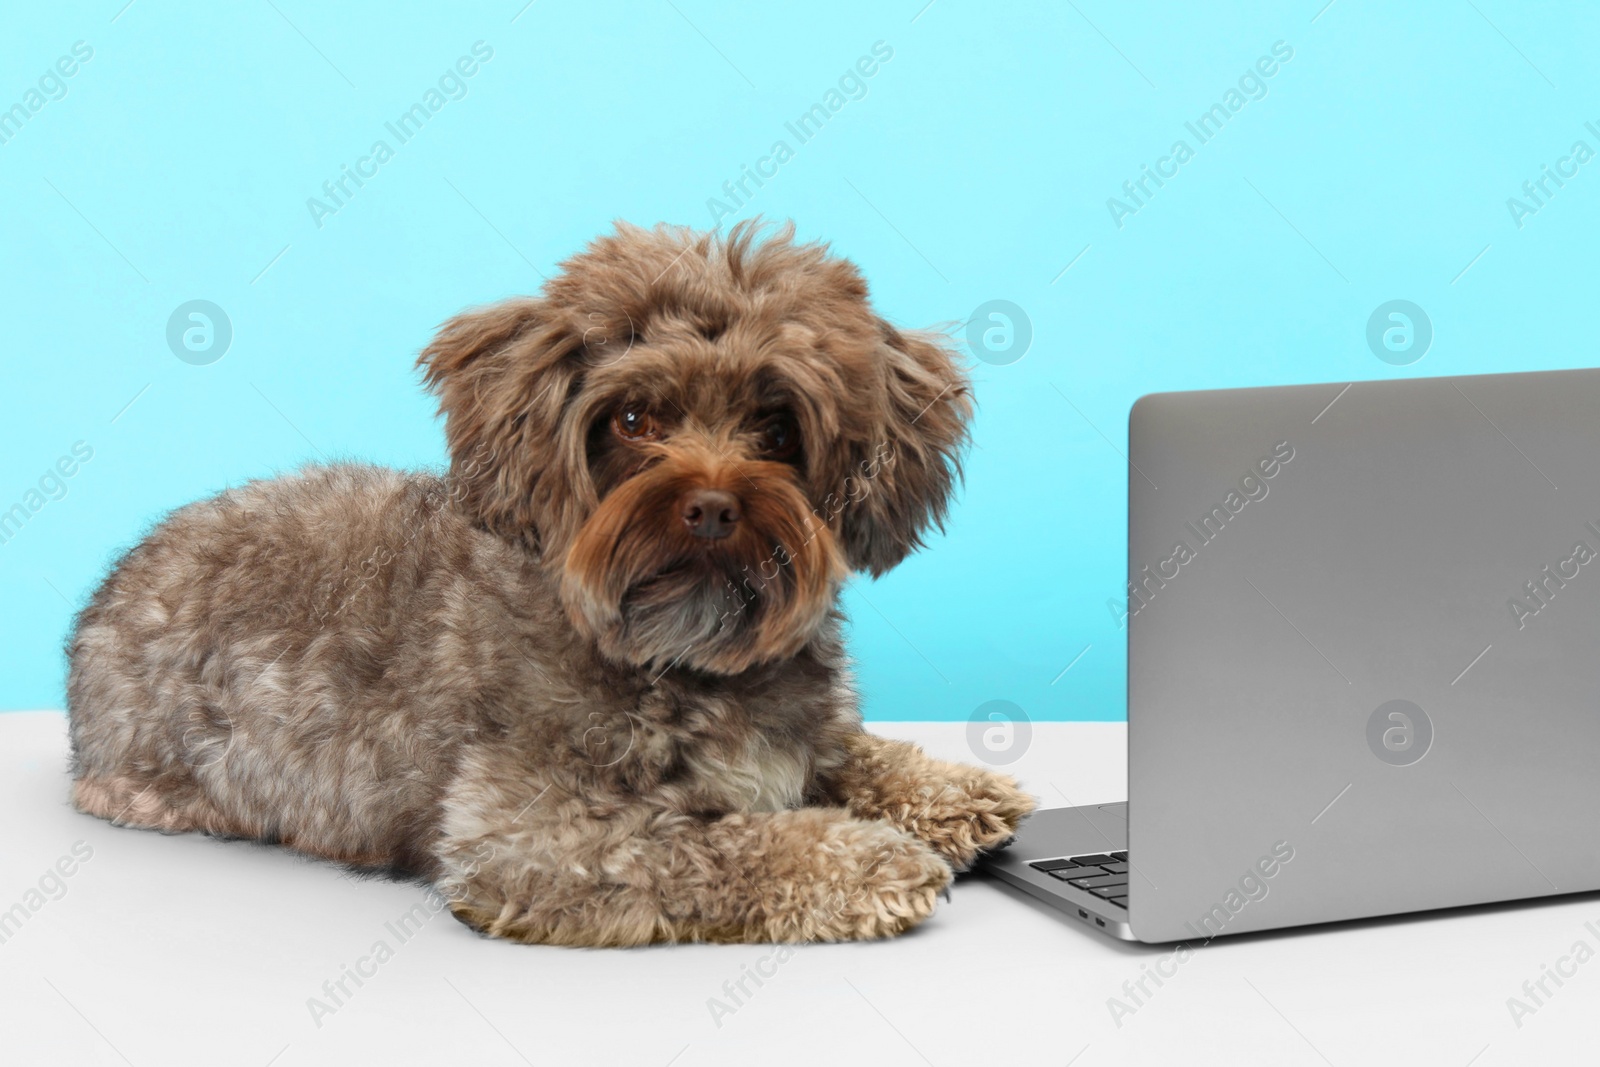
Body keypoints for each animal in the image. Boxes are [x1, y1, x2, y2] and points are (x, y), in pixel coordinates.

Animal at [62, 223, 1036, 940]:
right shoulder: (532, 839)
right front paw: (864, 859)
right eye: (634, 417)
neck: (680, 656)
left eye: (776, 424)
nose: (712, 506)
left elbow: (850, 750)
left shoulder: (805, 729)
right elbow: (716, 844)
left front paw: (950, 791)